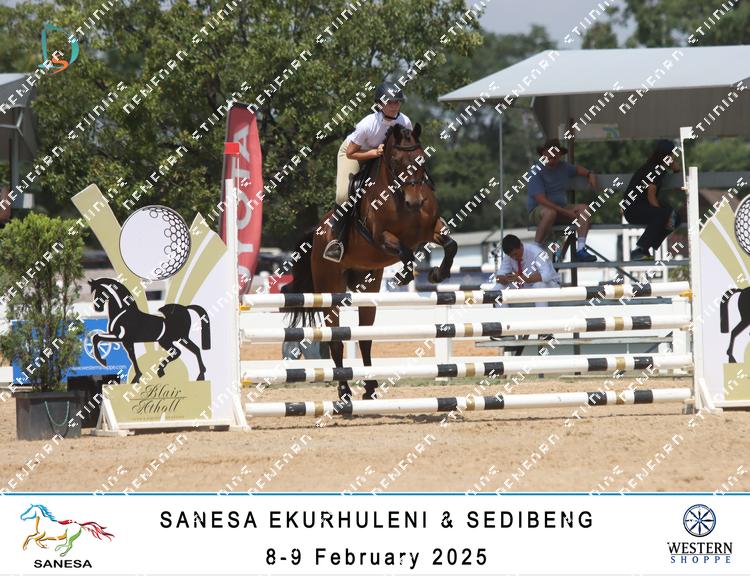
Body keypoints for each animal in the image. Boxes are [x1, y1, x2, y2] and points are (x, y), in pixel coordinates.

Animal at [285, 123, 457, 401]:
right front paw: (405, 276)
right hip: (330, 287)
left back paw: (370, 387)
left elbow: (450, 245)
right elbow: (405, 252)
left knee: (365, 338)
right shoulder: (381, 238)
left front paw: (437, 274)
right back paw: (344, 391)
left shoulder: (431, 230)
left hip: (367, 286)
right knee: (336, 340)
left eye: (421, 158)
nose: (415, 202)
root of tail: (318, 231)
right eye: (396, 161)